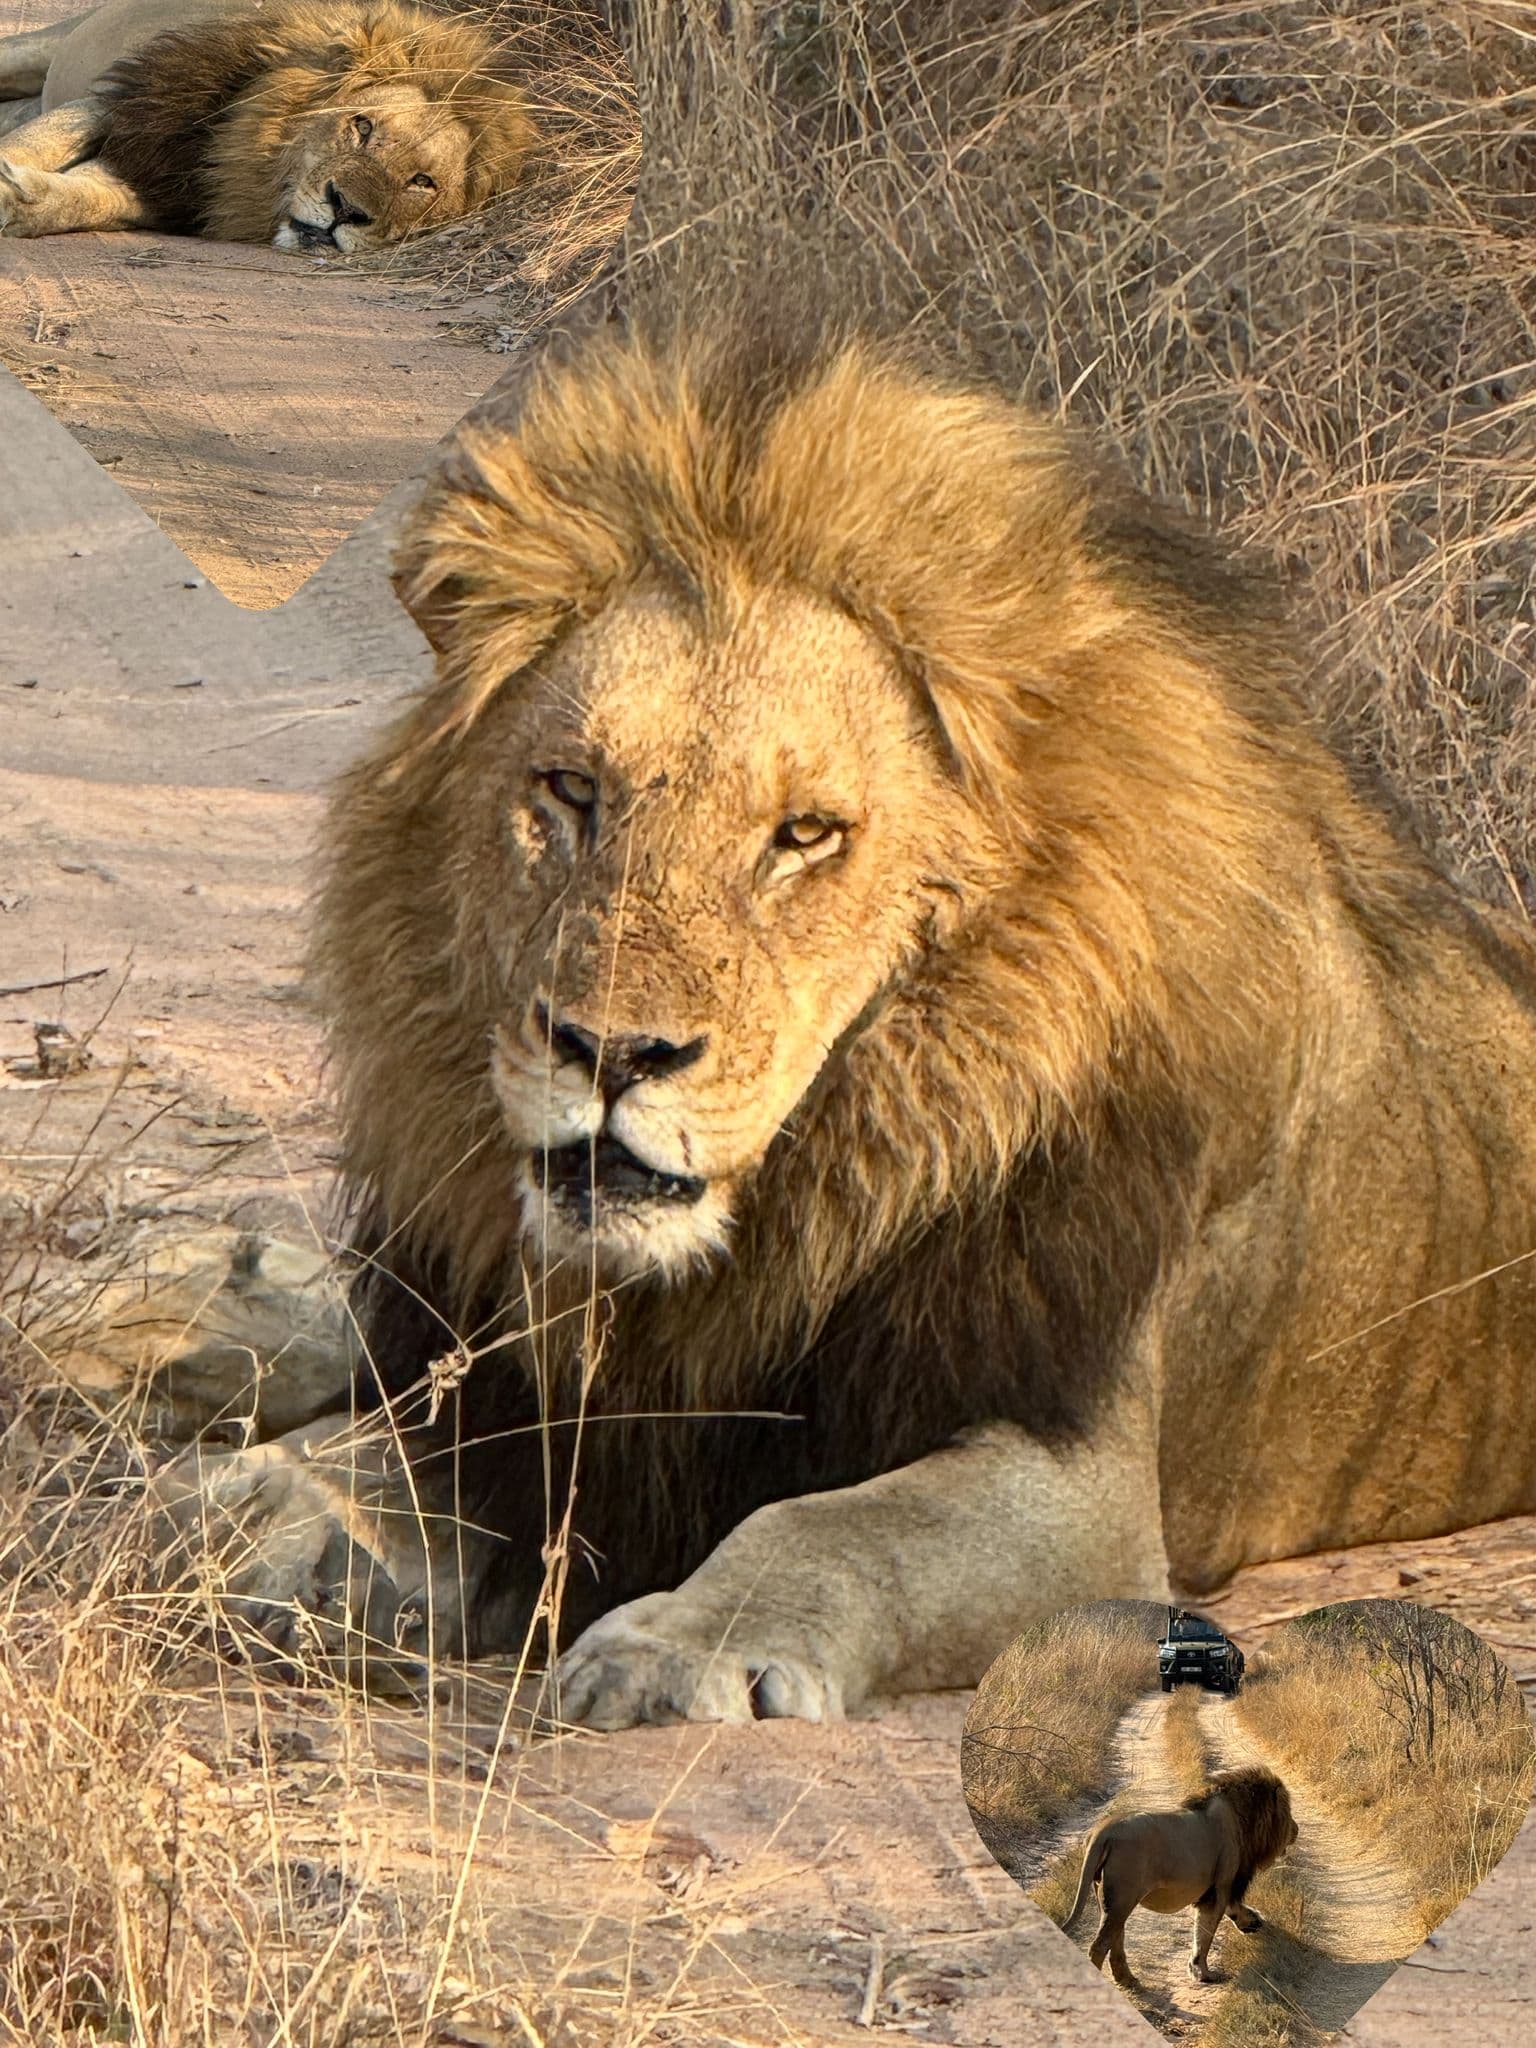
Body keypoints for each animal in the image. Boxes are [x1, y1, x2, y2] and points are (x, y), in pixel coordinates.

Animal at [0, 0, 535, 247]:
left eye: (422, 182)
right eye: (363, 127)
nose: (345, 208)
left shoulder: (186, 189)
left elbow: (89, 198)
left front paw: (21, 202)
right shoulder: (138, 106)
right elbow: (44, 138)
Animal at [151, 308, 1536, 1728]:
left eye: (805, 834)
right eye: (573, 790)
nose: (614, 1053)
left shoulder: (1087, 1490)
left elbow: (827, 1525)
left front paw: (675, 1646)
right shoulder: (531, 1404)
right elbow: (356, 1452)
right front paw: (251, 1511)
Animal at [1065, 1768, 1299, 1987]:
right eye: (1288, 1812)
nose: (1296, 1829)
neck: (1242, 1818)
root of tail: (1102, 1831)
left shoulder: (1219, 1888)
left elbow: (1232, 1909)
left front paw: (1252, 1920)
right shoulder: (1220, 1886)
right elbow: (1204, 1934)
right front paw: (1203, 1973)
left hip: (1110, 1897)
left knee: (1116, 1938)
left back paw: (1127, 1979)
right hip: (1122, 1896)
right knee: (1099, 1946)